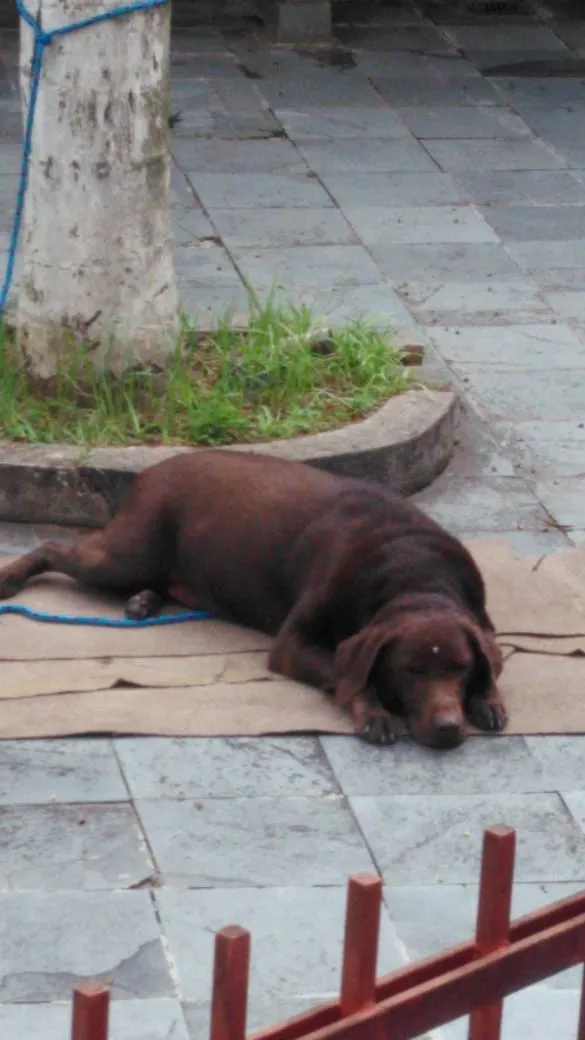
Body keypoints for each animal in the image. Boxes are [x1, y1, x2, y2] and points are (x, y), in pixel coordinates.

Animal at [0, 451, 503, 744]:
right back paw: (12, 577)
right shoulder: (292, 644)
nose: (448, 728)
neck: (414, 575)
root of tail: (153, 468)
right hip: (126, 553)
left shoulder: (481, 622)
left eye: (460, 668)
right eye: (410, 671)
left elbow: (490, 663)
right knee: (53, 548)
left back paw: (145, 601)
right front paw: (373, 711)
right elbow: (345, 676)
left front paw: (488, 699)